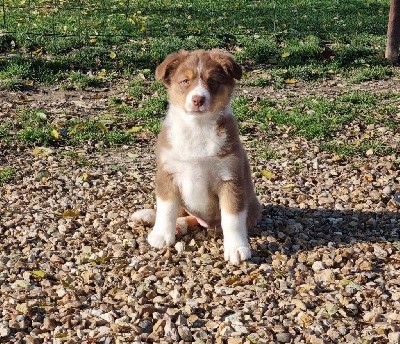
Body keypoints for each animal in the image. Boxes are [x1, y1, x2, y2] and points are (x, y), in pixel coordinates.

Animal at [132, 49, 262, 264]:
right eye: (185, 81)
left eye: (213, 82)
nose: (198, 100)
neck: (197, 127)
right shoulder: (168, 173)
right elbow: (167, 207)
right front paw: (161, 234)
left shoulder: (231, 178)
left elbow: (232, 218)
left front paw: (237, 248)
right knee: (179, 211)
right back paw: (148, 216)